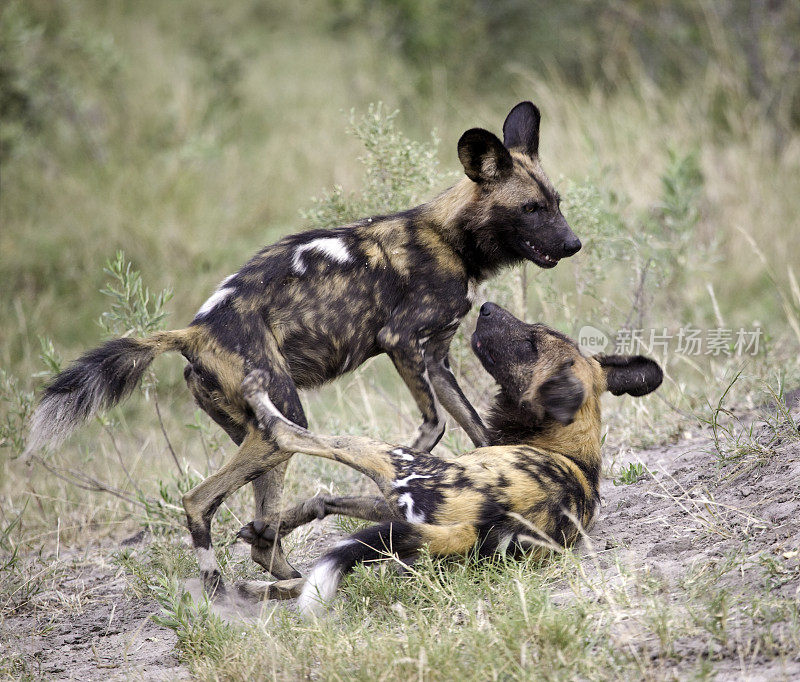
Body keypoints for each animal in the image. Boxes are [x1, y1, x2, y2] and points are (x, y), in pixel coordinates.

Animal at [26, 99, 580, 588]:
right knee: (198, 500)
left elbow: (478, 432)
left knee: (257, 519)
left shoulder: (436, 360)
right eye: (530, 208)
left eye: (556, 204)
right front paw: (406, 471)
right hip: (283, 412)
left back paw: (280, 568)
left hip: (261, 437)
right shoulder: (401, 342)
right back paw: (224, 583)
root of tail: (194, 331)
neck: (452, 239)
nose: (574, 244)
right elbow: (434, 427)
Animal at [238, 302, 664, 616]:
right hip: (406, 550)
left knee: (300, 435)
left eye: (530, 343)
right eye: (535, 328)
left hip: (391, 456)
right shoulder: (394, 512)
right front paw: (266, 529)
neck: (562, 441)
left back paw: (259, 396)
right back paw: (253, 588)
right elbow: (324, 501)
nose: (487, 307)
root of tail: (480, 527)